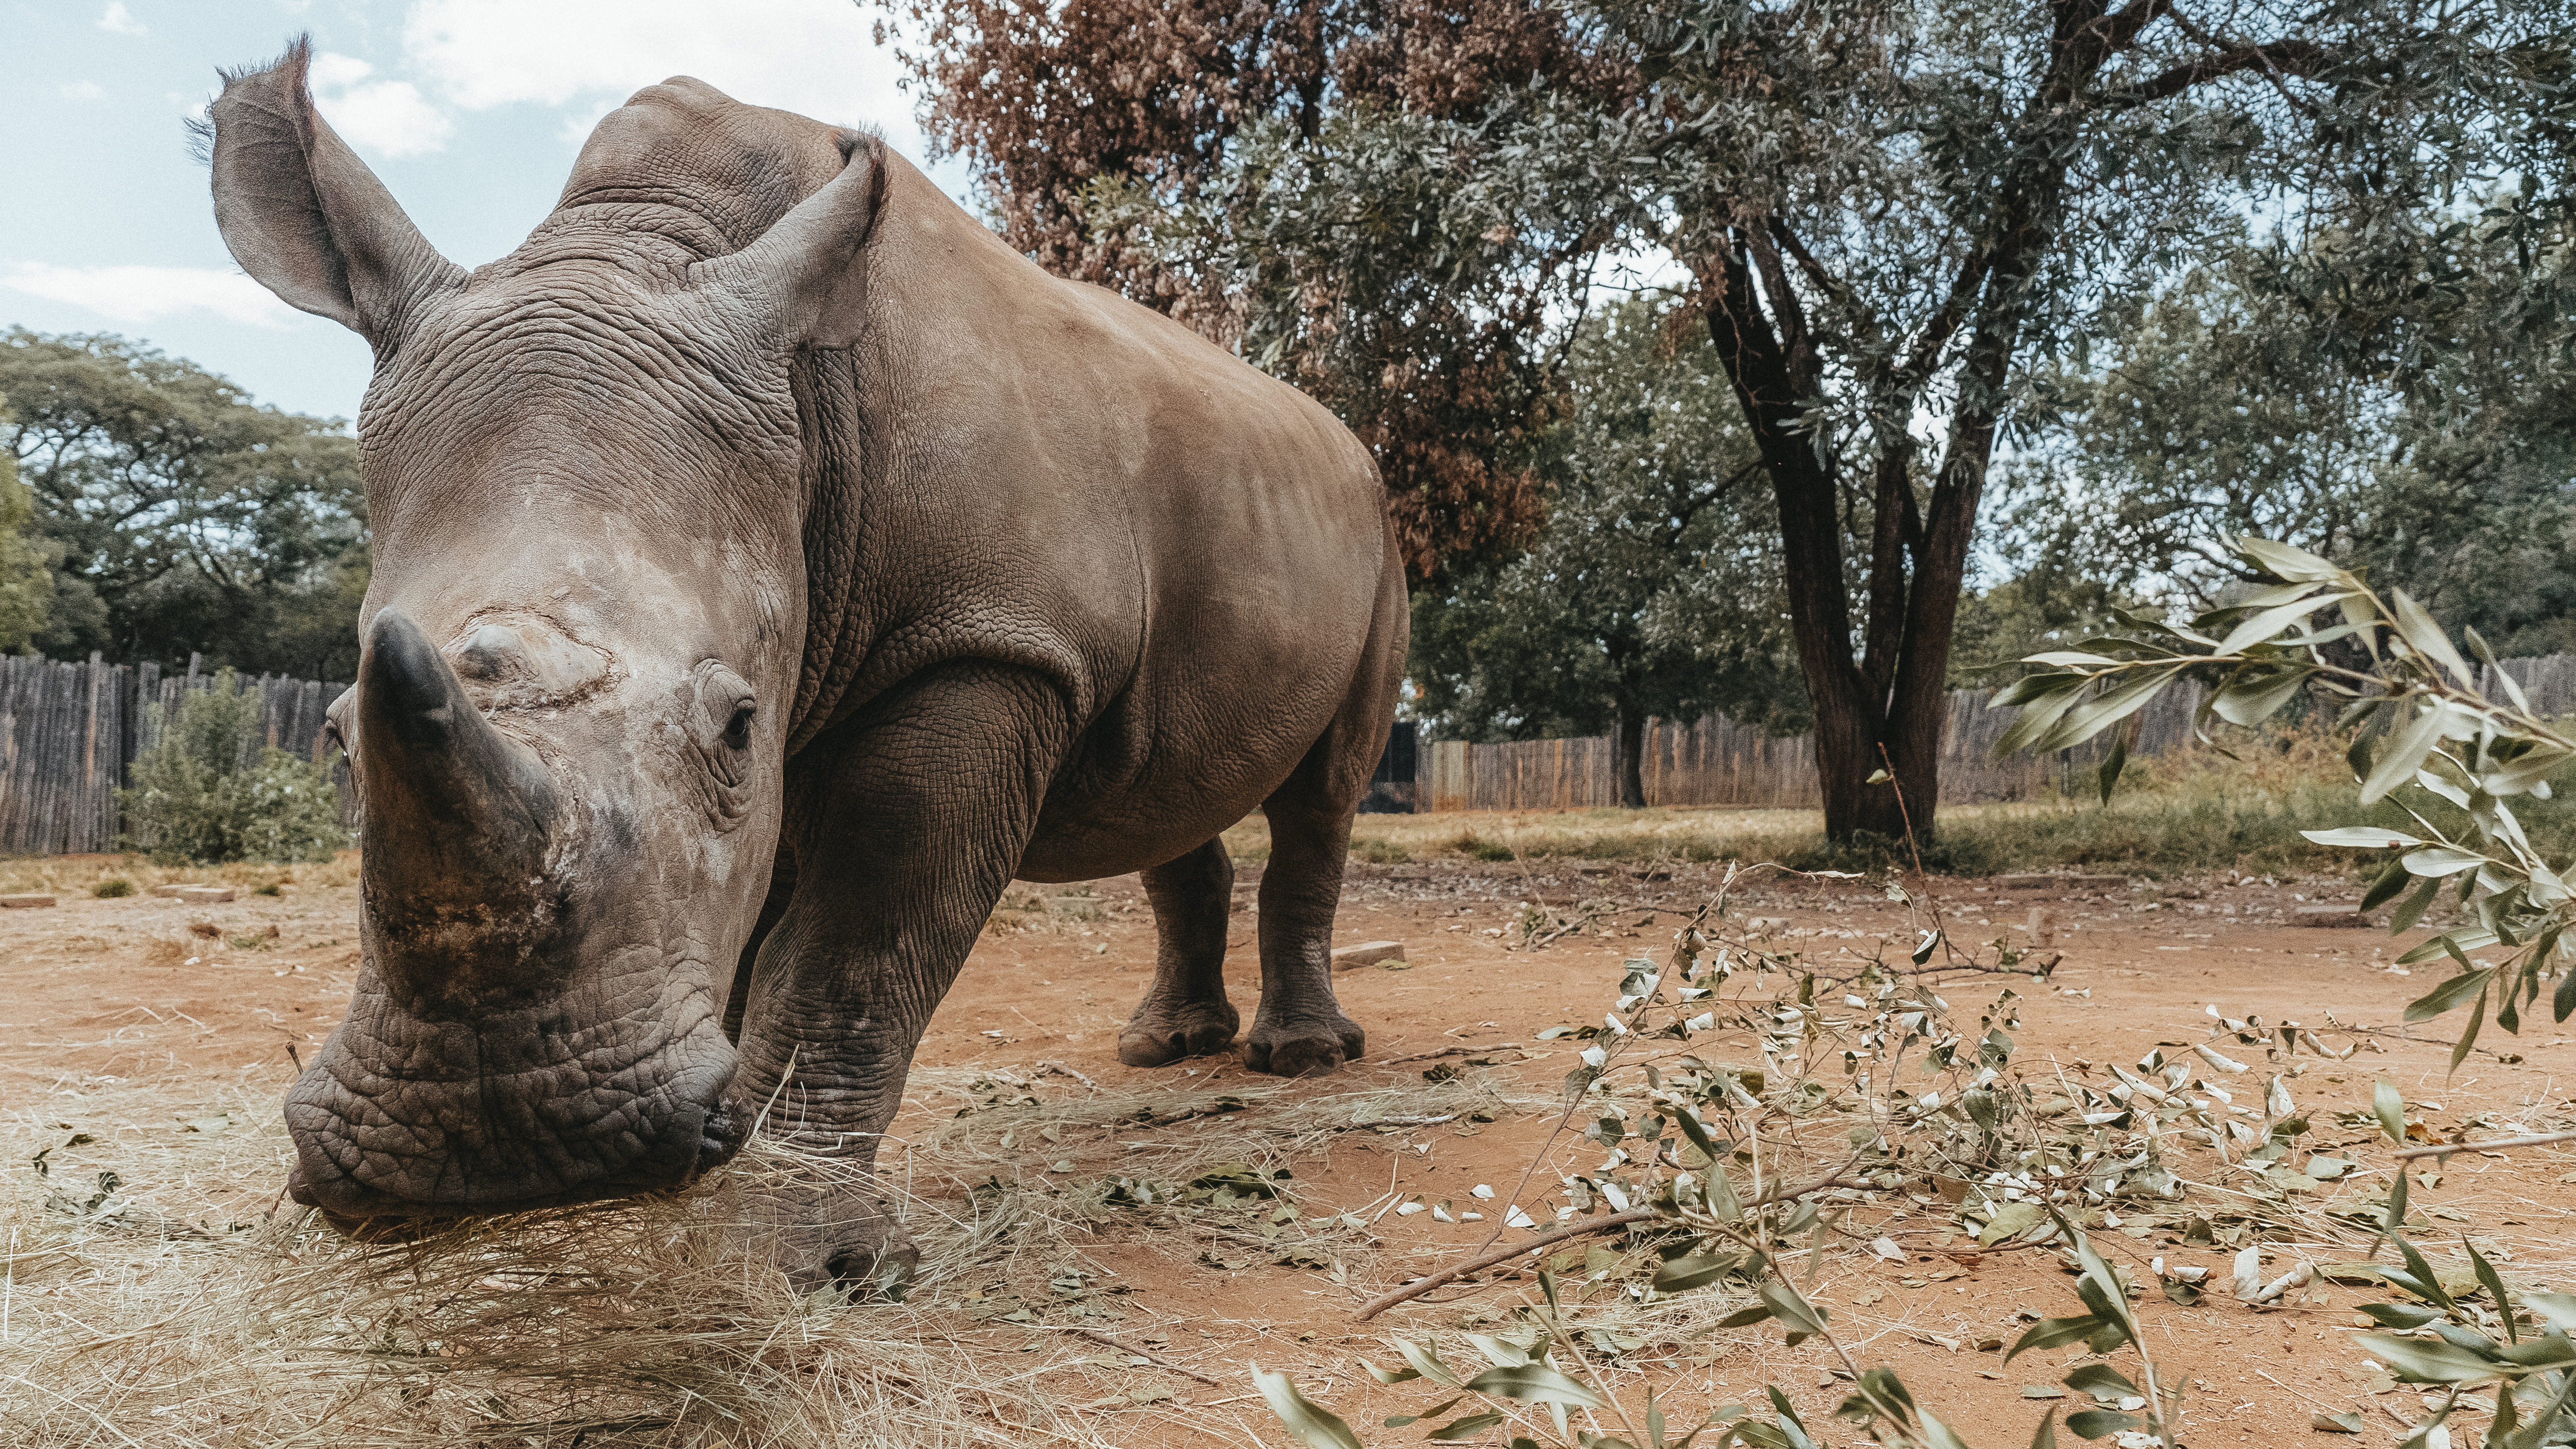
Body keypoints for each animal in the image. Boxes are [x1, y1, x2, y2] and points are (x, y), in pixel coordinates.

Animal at [204, 40, 1404, 1285]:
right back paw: (1165, 1049)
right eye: (337, 741)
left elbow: (855, 944)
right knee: (1169, 781)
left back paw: (1300, 1059)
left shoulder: (985, 643)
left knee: (1324, 790)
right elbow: (751, 933)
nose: (503, 1144)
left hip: (1376, 529)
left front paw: (805, 1257)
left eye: (736, 725)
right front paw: (714, 1169)